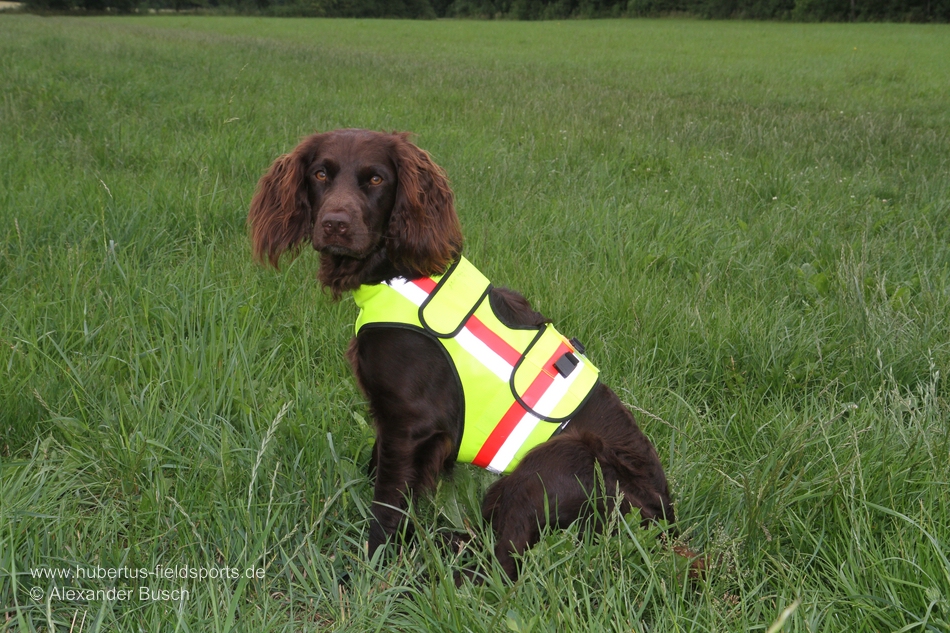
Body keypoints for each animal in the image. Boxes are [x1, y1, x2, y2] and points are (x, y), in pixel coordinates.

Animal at [247, 131, 692, 580]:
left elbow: (387, 504)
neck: (396, 272)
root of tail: (666, 524)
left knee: (502, 563)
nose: (335, 224)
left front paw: (370, 570)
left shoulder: (411, 423)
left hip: (562, 459)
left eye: (375, 179)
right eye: (320, 174)